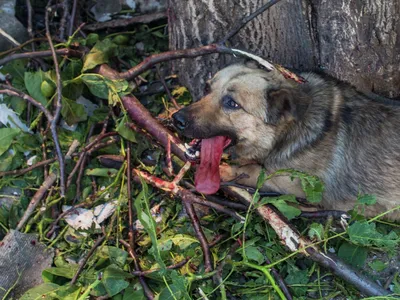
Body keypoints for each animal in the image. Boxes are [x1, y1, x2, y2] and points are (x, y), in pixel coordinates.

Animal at [173, 62, 400, 220]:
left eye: (231, 103)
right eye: (206, 88)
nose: (177, 119)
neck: (288, 131)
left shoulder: (297, 185)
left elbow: (253, 172)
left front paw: (226, 170)